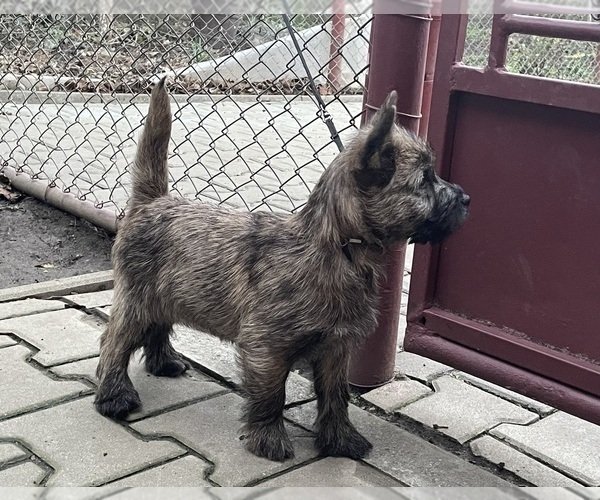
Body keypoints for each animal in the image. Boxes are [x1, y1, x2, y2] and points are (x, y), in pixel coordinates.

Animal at [95, 77, 468, 460]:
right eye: (425, 179)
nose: (466, 199)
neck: (337, 245)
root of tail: (152, 201)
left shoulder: (336, 348)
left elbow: (336, 396)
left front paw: (341, 439)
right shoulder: (267, 346)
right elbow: (272, 395)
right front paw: (269, 439)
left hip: (165, 293)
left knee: (156, 325)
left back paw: (163, 363)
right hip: (136, 299)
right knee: (114, 342)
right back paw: (114, 396)